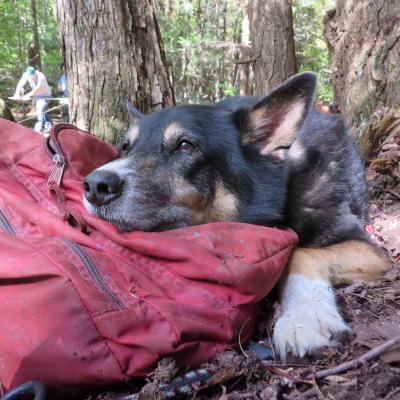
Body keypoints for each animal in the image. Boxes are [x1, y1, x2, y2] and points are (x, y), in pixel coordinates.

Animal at [83, 73, 390, 360]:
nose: (94, 186)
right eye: (125, 147)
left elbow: (300, 252)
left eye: (186, 145)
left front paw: (304, 316)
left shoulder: (369, 248)